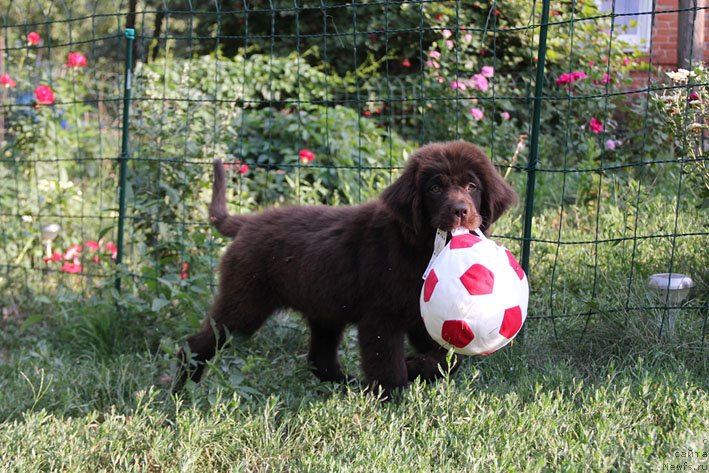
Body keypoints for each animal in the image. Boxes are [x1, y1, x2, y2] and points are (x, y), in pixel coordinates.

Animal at [174, 141, 516, 398]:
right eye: (434, 188)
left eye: (472, 186)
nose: (460, 211)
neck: (418, 245)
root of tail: (246, 222)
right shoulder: (381, 317)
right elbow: (388, 365)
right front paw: (392, 393)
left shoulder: (422, 316)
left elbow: (448, 360)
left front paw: (416, 367)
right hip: (245, 303)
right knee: (198, 343)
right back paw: (181, 389)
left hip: (323, 309)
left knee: (320, 360)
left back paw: (348, 384)